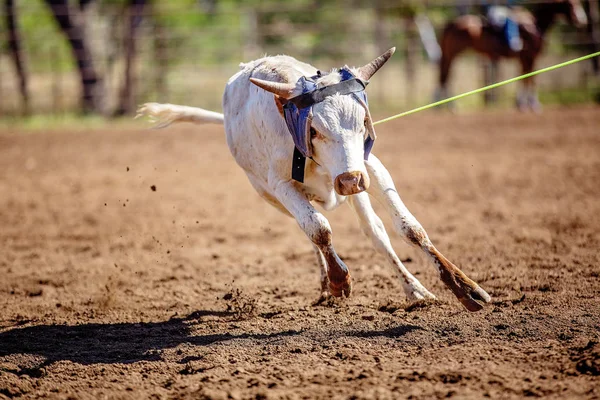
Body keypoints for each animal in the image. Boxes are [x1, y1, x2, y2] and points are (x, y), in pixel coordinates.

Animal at [137, 48, 492, 312]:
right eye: (315, 130)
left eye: (363, 122)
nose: (349, 181)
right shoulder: (281, 186)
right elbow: (319, 230)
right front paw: (338, 280)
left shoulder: (370, 166)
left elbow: (410, 229)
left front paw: (465, 289)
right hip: (271, 195)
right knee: (311, 229)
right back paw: (327, 282)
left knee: (375, 232)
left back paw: (414, 290)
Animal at [438, 0, 588, 111]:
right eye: (571, 4)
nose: (582, 21)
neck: (535, 25)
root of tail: (451, 24)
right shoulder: (529, 55)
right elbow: (530, 77)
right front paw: (531, 103)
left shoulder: (523, 58)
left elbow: (525, 76)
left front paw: (522, 102)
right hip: (453, 54)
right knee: (447, 76)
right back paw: (450, 105)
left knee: (445, 76)